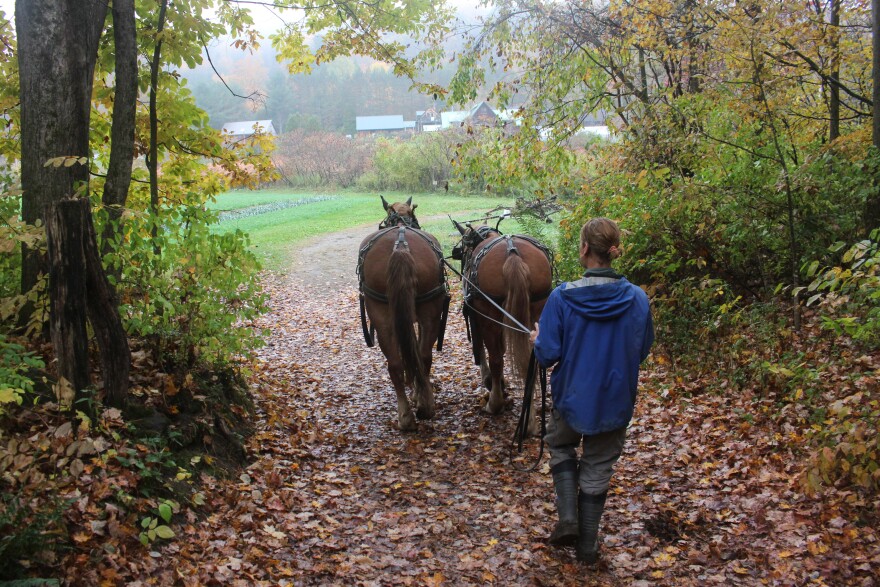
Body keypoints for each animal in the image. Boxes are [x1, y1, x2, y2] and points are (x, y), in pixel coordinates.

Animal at [357, 197, 450, 431]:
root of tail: (400, 247)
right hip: (426, 314)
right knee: (416, 358)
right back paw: (419, 408)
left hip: (386, 315)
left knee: (404, 361)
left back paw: (409, 411)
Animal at [452, 220, 554, 435]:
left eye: (464, 245)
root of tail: (513, 254)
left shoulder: (477, 316)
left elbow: (483, 351)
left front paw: (491, 382)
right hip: (536, 313)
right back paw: (529, 421)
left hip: (489, 316)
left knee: (497, 359)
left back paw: (495, 403)